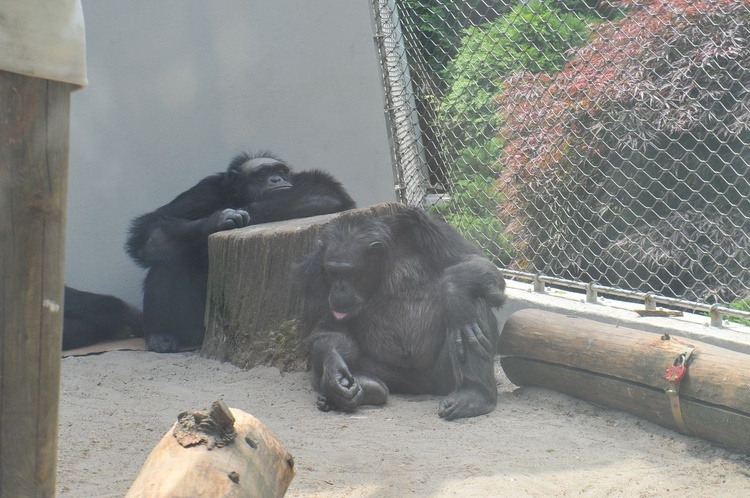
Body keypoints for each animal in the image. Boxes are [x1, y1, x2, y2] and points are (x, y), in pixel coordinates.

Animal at [126, 152, 356, 354]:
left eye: (280, 171)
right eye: (263, 173)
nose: (276, 179)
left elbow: (324, 192)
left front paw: (237, 214)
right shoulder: (203, 191)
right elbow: (151, 228)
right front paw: (218, 219)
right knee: (166, 261)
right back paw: (159, 335)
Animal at [296, 206, 508, 420]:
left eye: (350, 272)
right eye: (332, 271)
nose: (339, 288)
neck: (383, 263)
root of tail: (419, 387)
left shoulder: (432, 232)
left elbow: (476, 261)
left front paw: (455, 296)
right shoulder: (315, 271)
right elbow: (328, 328)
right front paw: (334, 371)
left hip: (443, 378)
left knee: (475, 299)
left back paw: (474, 394)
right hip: (393, 377)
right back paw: (361, 389)